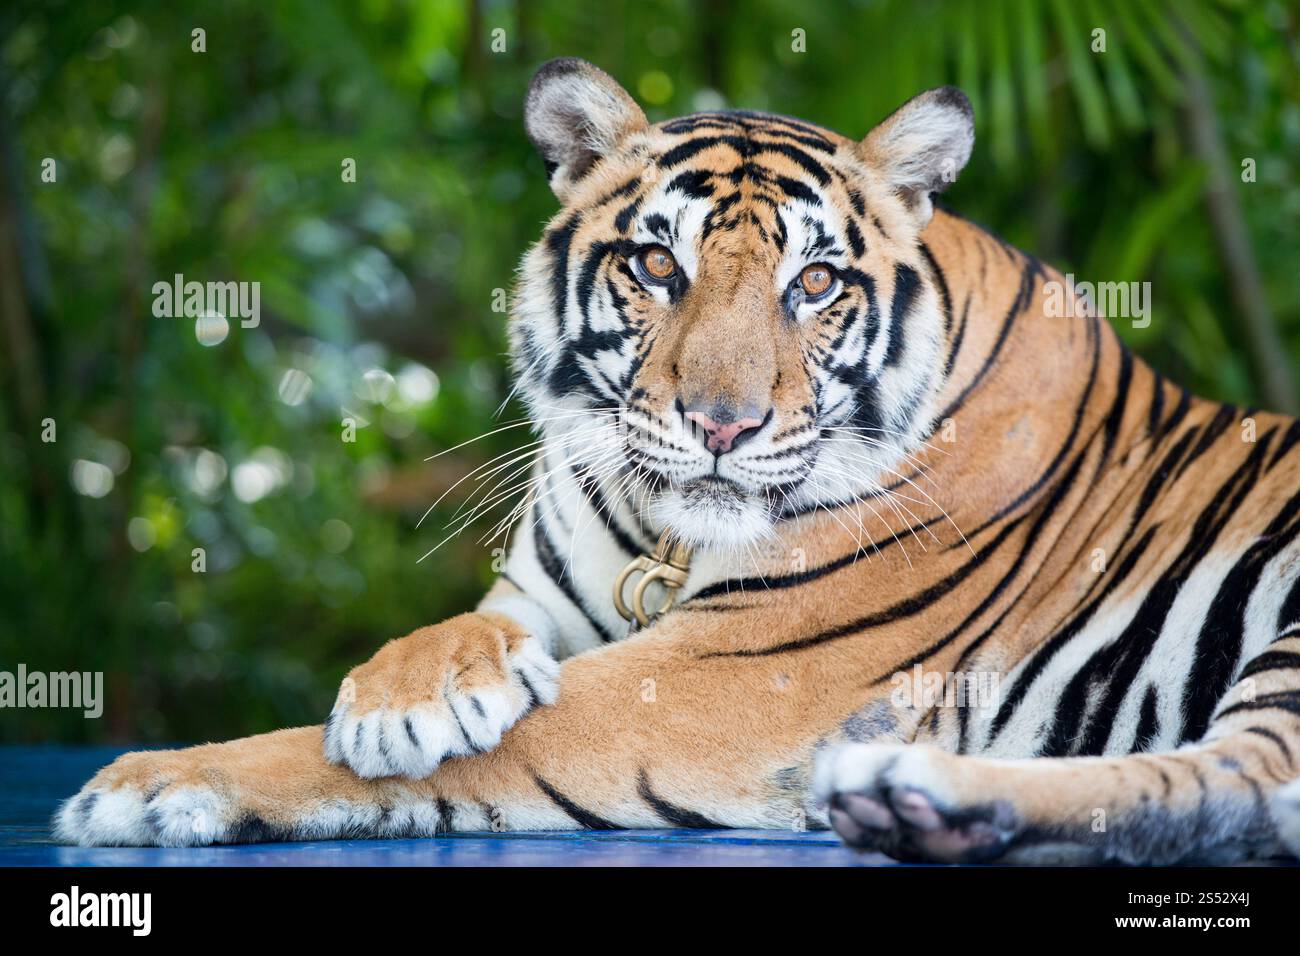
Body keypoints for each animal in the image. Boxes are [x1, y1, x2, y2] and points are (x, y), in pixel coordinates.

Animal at [56, 58, 1300, 864]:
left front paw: (155, 778)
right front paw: (409, 688)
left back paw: (910, 793)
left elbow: (437, 758)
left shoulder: (729, 673)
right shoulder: (544, 596)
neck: (661, 531)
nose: (723, 425)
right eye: (657, 265)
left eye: (815, 283)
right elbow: (458, 635)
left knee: (1239, 778)